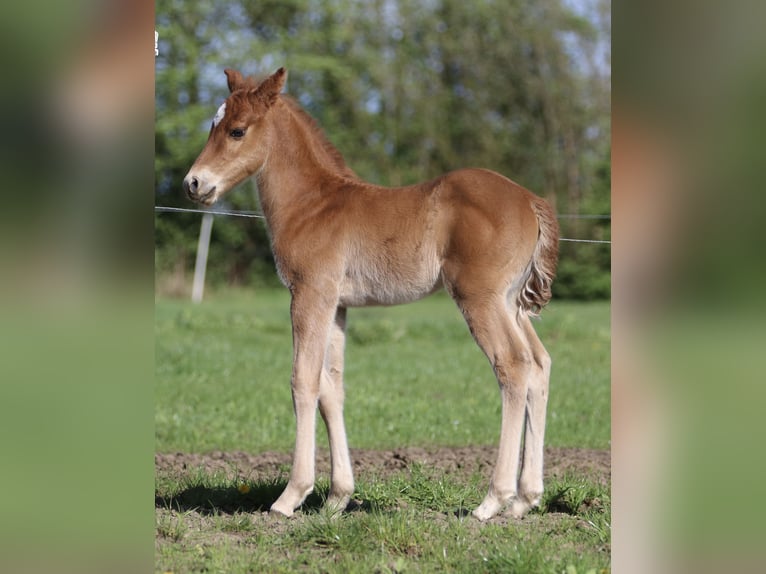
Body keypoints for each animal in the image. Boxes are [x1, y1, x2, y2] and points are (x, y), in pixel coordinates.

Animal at [184, 67, 560, 520]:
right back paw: (525, 498)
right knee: (539, 365)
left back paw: (492, 500)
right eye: (213, 126)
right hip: (511, 304)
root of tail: (530, 199)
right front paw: (337, 497)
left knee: (513, 365)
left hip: (480, 298)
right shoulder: (338, 305)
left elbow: (302, 380)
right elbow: (332, 387)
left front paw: (292, 496)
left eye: (237, 130)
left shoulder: (310, 293)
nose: (193, 183)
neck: (312, 204)